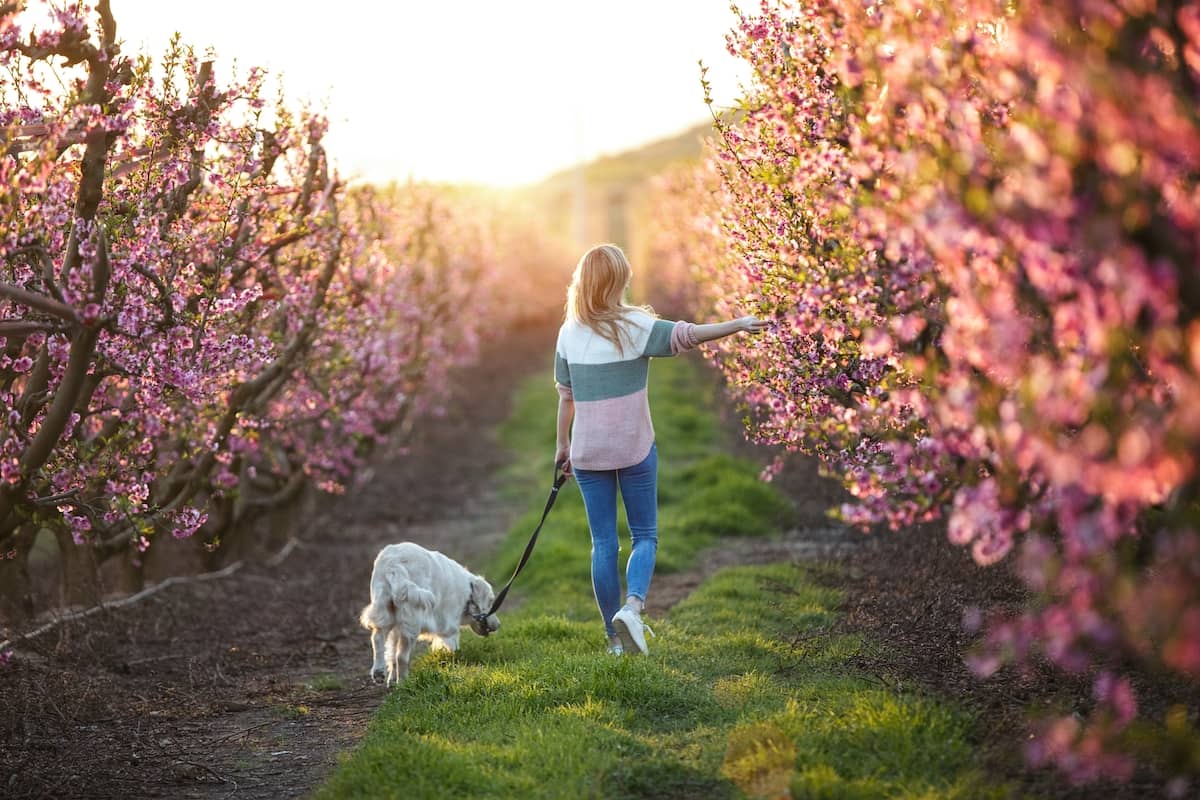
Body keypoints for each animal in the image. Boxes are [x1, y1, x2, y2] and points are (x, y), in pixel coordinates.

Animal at [360, 542, 501, 686]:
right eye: (491, 601)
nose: (498, 624)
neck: (468, 592)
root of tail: (394, 564)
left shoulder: (396, 628)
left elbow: (391, 653)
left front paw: (391, 679)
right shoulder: (449, 624)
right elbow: (452, 645)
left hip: (384, 610)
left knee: (377, 639)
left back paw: (379, 672)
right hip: (412, 621)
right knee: (402, 656)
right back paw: (404, 683)